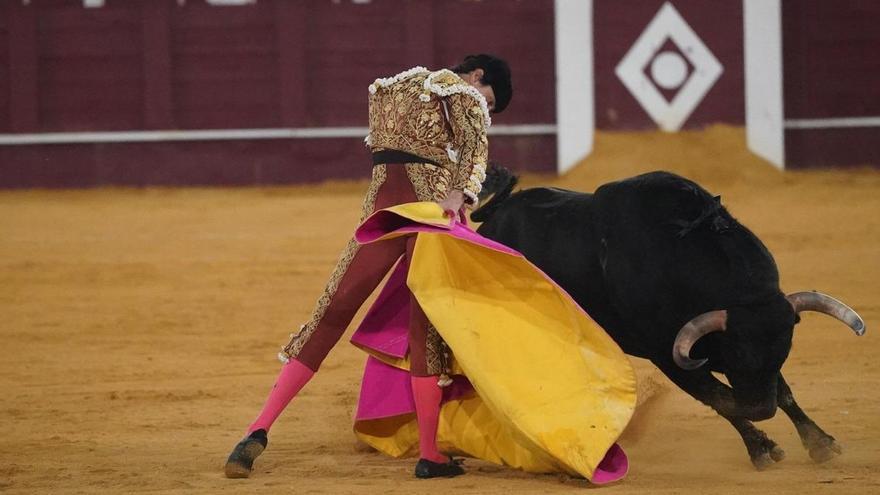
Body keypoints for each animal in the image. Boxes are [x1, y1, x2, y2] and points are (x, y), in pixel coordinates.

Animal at [474, 169, 868, 470]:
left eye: (785, 349)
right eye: (738, 354)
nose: (760, 408)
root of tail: (495, 215)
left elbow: (783, 391)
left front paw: (821, 443)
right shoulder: (669, 355)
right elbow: (719, 398)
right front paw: (762, 449)